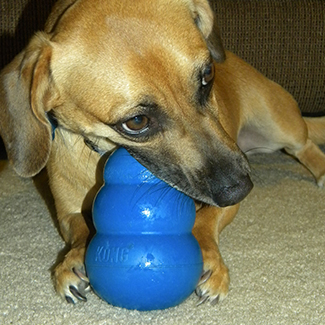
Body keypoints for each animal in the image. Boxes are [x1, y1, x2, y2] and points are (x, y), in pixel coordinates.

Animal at [0, 0, 324, 306]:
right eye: (136, 122)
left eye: (208, 76)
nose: (240, 188)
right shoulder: (66, 212)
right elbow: (79, 227)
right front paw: (73, 259)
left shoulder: (225, 204)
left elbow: (207, 220)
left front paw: (208, 257)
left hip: (278, 125)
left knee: (306, 145)